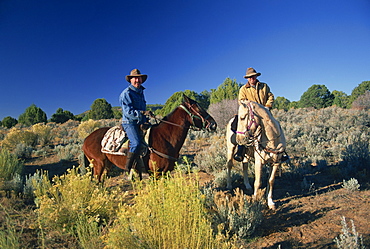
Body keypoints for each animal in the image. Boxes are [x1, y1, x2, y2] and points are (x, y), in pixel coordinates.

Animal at [81, 95, 217, 181]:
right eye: (198, 108)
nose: (213, 124)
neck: (165, 138)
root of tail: (86, 139)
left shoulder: (165, 173)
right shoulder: (155, 173)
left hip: (107, 165)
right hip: (98, 165)